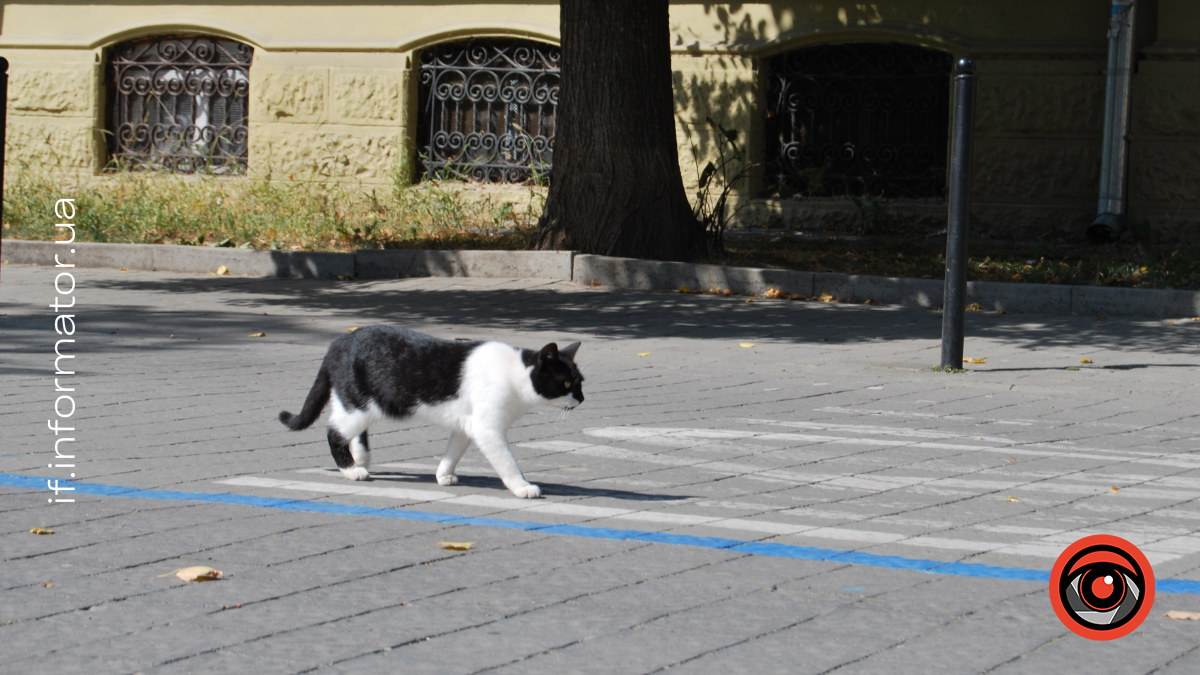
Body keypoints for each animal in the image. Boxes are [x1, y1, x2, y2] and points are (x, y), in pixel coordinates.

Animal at [278, 324, 583, 497]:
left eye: (580, 381)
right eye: (567, 383)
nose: (581, 399)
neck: (513, 372)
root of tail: (340, 342)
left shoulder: (467, 425)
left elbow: (453, 452)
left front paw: (443, 475)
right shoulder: (487, 429)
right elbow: (508, 463)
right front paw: (522, 487)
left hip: (361, 406)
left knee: (351, 431)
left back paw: (361, 459)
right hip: (359, 406)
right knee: (334, 432)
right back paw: (352, 471)